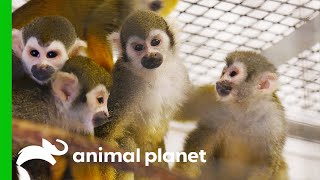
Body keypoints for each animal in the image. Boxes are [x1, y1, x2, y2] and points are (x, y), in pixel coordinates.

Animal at [95, 10, 190, 180]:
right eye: (138, 47)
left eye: (155, 42)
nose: (151, 55)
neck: (154, 75)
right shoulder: (124, 84)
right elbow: (103, 136)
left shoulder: (180, 76)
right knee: (126, 142)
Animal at [172, 50, 288, 180]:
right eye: (223, 73)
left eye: (232, 73)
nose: (220, 80)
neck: (244, 109)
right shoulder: (214, 99)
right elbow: (183, 112)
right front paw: (181, 173)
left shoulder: (275, 122)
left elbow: (265, 162)